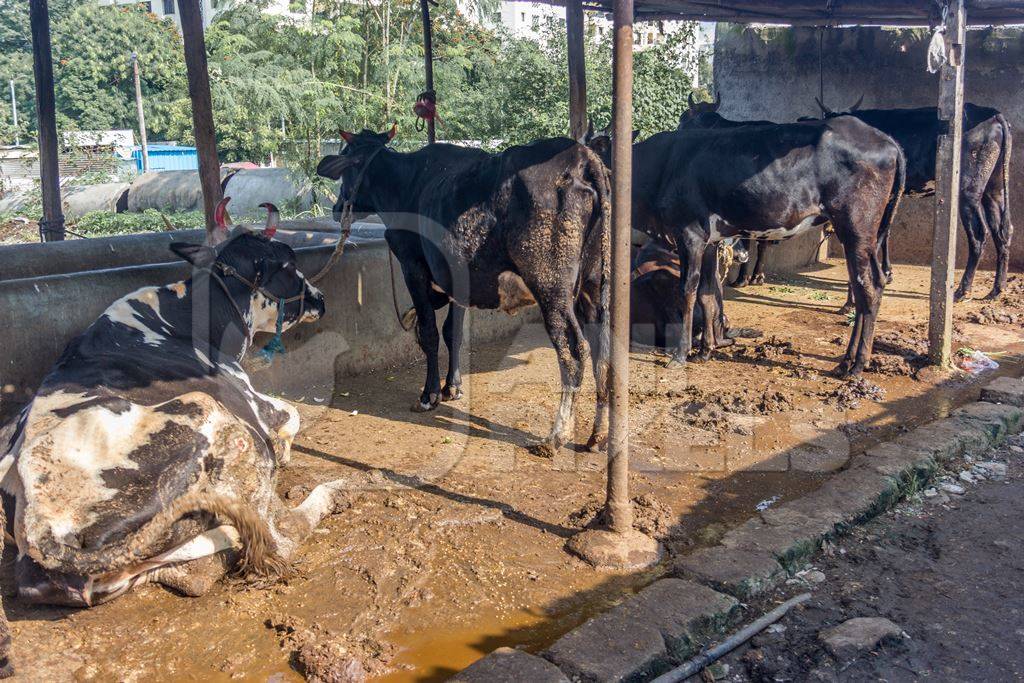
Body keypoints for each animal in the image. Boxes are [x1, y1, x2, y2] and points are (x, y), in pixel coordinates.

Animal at [0, 209, 344, 679]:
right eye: (289, 265)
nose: (321, 298)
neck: (189, 318)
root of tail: (44, 533)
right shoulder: (251, 403)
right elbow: (292, 413)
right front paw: (288, 450)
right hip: (211, 415)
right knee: (280, 534)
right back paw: (330, 493)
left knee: (190, 572)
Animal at [315, 127, 610, 458]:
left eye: (346, 166)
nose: (337, 208)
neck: (406, 184)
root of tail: (582, 157)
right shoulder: (457, 278)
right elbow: (453, 332)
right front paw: (452, 387)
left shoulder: (413, 267)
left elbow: (430, 332)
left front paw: (429, 394)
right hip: (594, 286)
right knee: (603, 351)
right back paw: (597, 436)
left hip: (551, 287)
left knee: (574, 351)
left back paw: (555, 437)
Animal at [815, 97, 1015, 301]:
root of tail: (994, 115)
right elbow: (887, 231)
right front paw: (888, 272)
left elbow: (880, 231)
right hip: (994, 188)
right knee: (1002, 230)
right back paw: (997, 289)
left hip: (968, 191)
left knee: (979, 234)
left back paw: (962, 290)